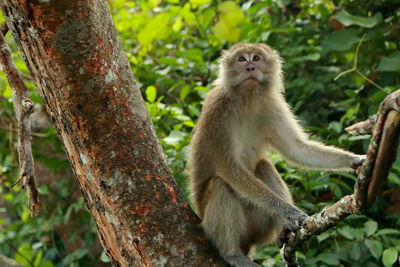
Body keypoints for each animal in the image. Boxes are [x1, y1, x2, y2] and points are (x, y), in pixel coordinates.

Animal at [188, 43, 366, 266]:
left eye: (256, 58)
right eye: (241, 59)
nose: (250, 68)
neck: (247, 99)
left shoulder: (272, 105)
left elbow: (296, 149)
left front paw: (355, 160)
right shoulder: (217, 111)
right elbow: (229, 168)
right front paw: (287, 210)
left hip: (261, 227)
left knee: (264, 166)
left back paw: (283, 232)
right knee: (220, 184)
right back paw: (233, 255)